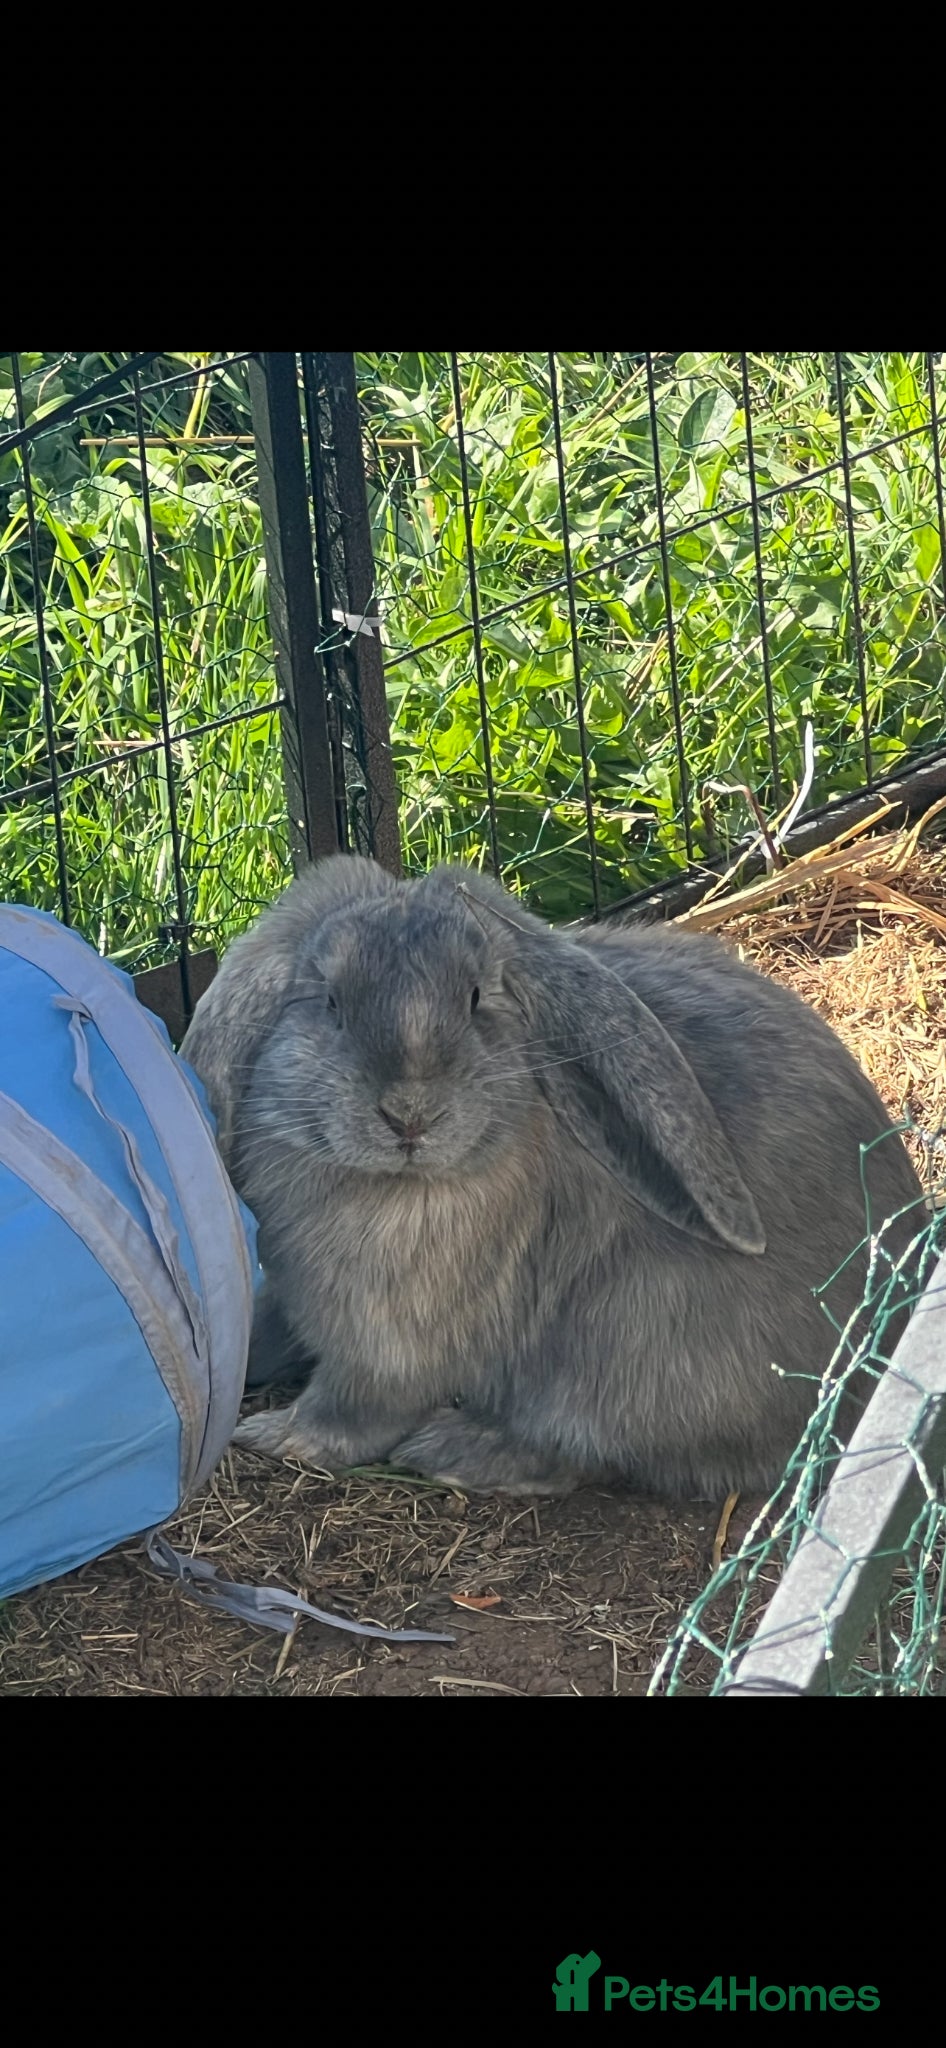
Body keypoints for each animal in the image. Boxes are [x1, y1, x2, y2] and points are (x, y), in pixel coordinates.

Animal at [181, 853, 923, 1499]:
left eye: (476, 998)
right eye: (331, 1003)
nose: (410, 1115)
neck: (403, 1187)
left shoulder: (384, 1351)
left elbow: (353, 1411)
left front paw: (273, 1436)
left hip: (620, 1357)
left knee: (583, 1453)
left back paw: (454, 1450)